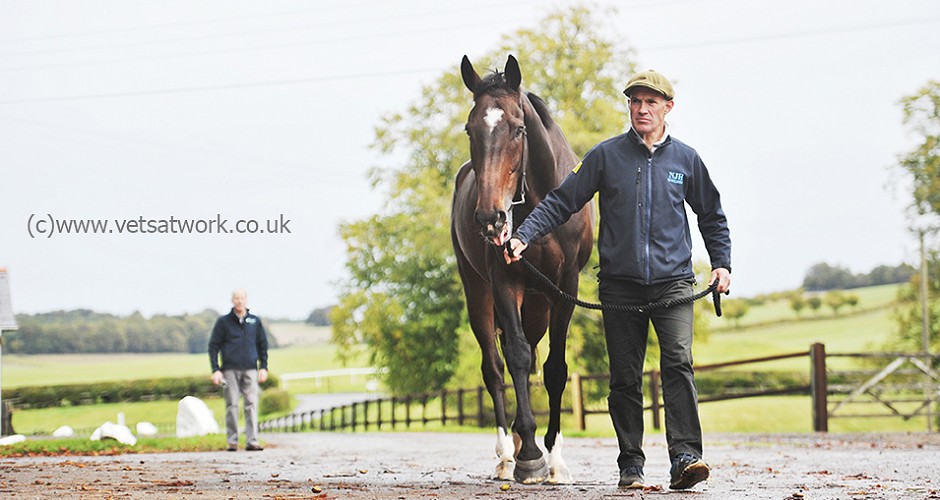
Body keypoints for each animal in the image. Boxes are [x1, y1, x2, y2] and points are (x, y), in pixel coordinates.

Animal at [452, 55, 592, 484]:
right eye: (470, 128)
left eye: (518, 128)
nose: (490, 218)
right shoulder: (504, 281)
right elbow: (512, 357)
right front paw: (529, 454)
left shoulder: (565, 288)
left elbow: (555, 368)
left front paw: (555, 458)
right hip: (479, 293)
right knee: (495, 369)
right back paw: (506, 454)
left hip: (538, 304)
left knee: (531, 361)